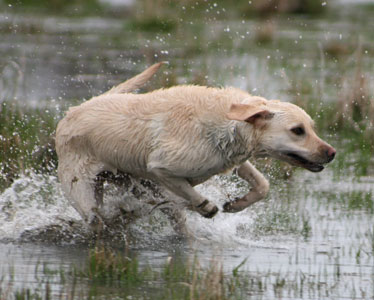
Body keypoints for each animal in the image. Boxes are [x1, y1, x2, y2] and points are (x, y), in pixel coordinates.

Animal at [55, 62, 336, 232]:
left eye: (311, 127)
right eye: (297, 130)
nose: (332, 153)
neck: (225, 123)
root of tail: (73, 111)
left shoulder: (232, 160)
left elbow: (263, 185)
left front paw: (237, 204)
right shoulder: (159, 168)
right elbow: (190, 196)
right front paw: (205, 207)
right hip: (82, 193)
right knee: (96, 219)